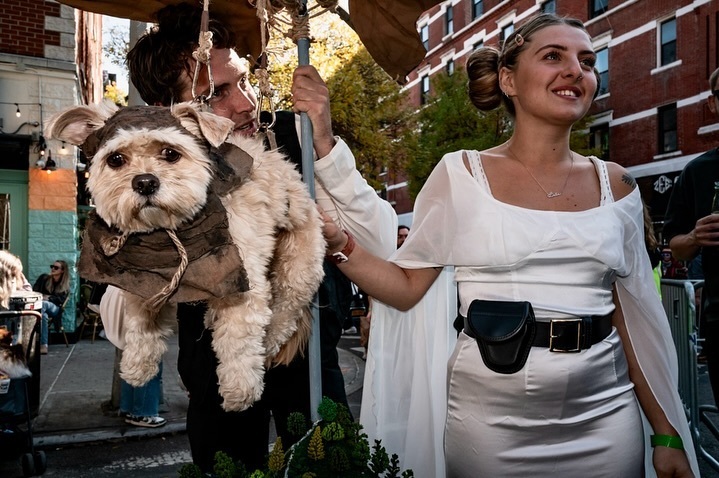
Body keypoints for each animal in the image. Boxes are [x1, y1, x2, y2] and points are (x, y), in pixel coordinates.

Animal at [45, 101, 326, 410]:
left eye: (170, 153)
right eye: (116, 159)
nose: (145, 182)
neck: (171, 232)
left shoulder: (244, 282)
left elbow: (239, 336)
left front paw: (239, 389)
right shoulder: (146, 281)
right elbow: (141, 322)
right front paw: (138, 365)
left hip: (298, 270)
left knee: (284, 314)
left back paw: (266, 345)